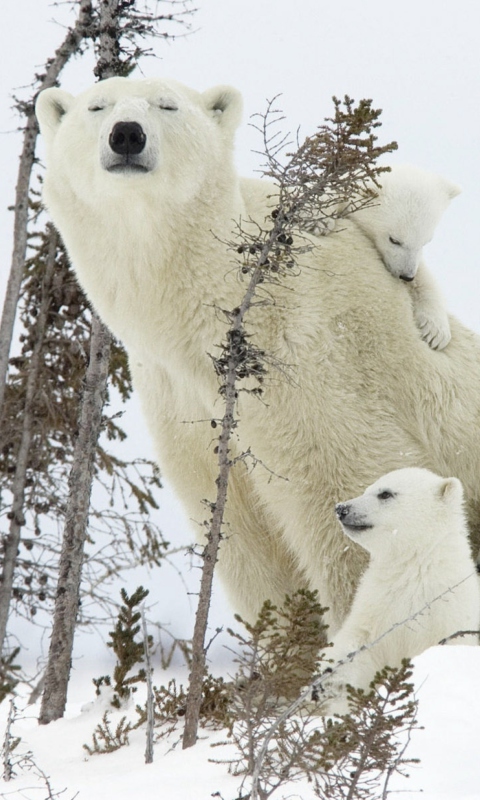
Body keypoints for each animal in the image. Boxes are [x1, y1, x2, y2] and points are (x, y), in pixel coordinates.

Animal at [38, 78, 480, 636]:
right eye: (97, 106)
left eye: (167, 105)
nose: (127, 135)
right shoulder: (182, 403)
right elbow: (248, 547)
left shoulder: (310, 365)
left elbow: (351, 506)